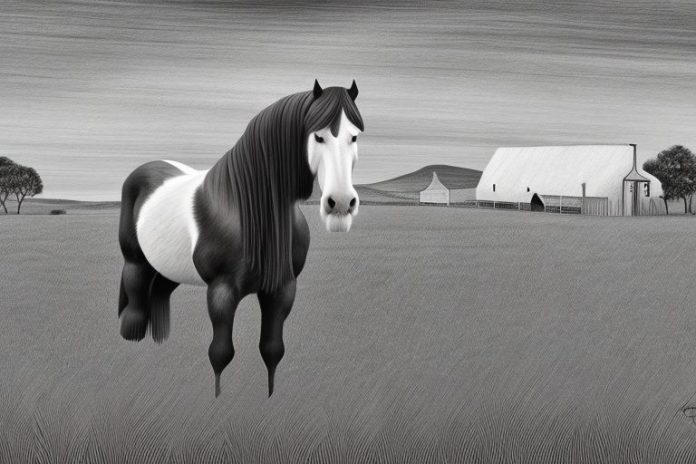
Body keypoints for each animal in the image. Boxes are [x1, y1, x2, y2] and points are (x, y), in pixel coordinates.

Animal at [117, 80, 364, 397]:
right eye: (318, 136)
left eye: (354, 136)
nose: (341, 204)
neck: (248, 211)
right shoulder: (222, 291)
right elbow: (221, 353)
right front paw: (217, 396)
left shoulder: (282, 289)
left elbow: (272, 350)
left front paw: (270, 394)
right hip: (135, 261)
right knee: (135, 296)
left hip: (169, 268)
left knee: (159, 292)